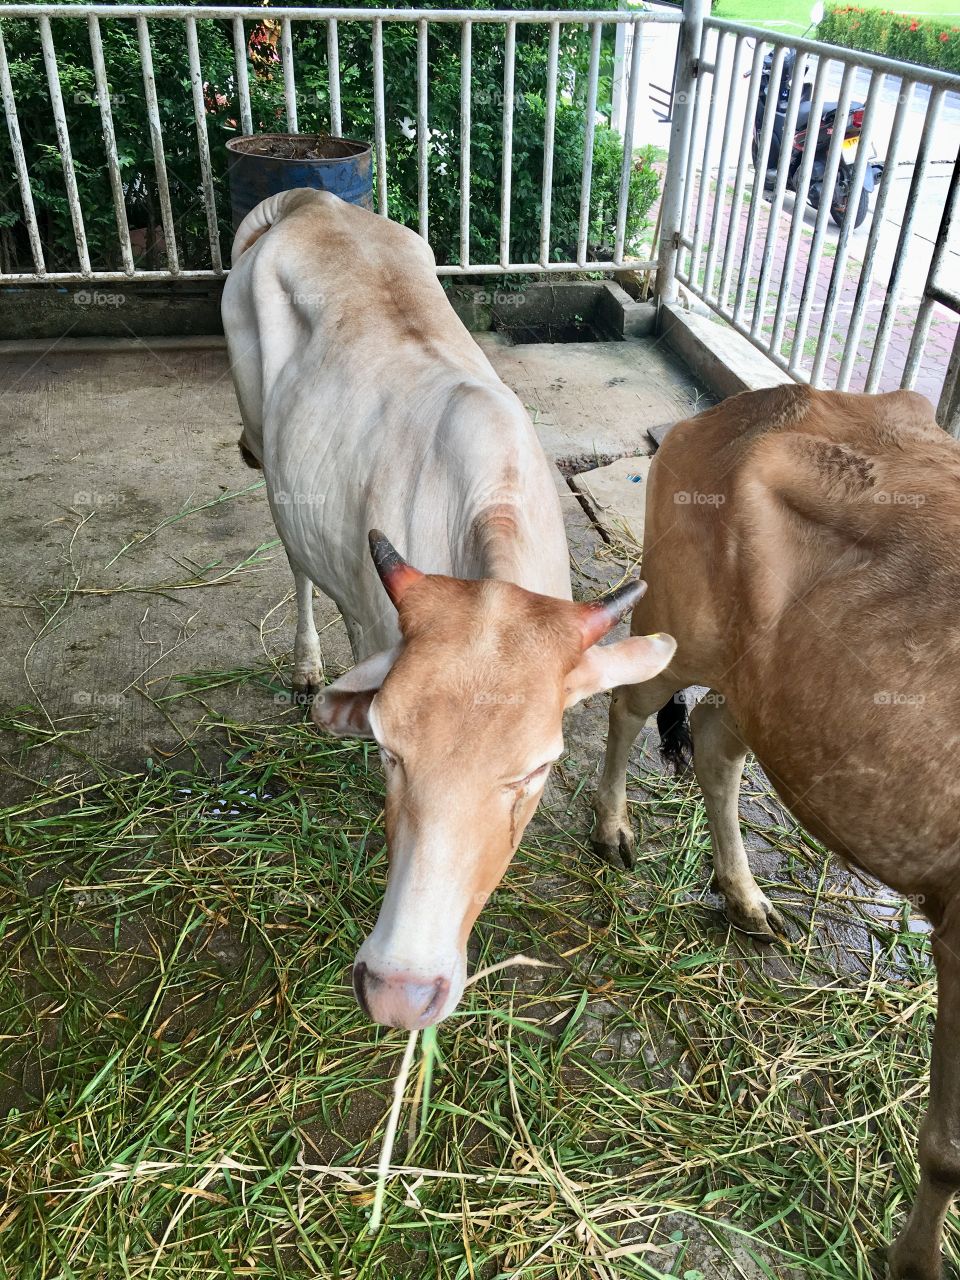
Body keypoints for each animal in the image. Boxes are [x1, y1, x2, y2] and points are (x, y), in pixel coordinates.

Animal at [221, 188, 675, 1034]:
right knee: (298, 562)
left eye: (538, 769)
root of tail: (311, 198)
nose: (400, 992)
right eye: (388, 749)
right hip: (264, 442)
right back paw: (305, 663)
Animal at [591, 382, 960, 1280]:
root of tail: (750, 404)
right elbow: (949, 1149)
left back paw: (745, 897)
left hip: (765, 692)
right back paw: (614, 829)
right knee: (630, 700)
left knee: (715, 739)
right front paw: (914, 1260)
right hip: (677, 623)